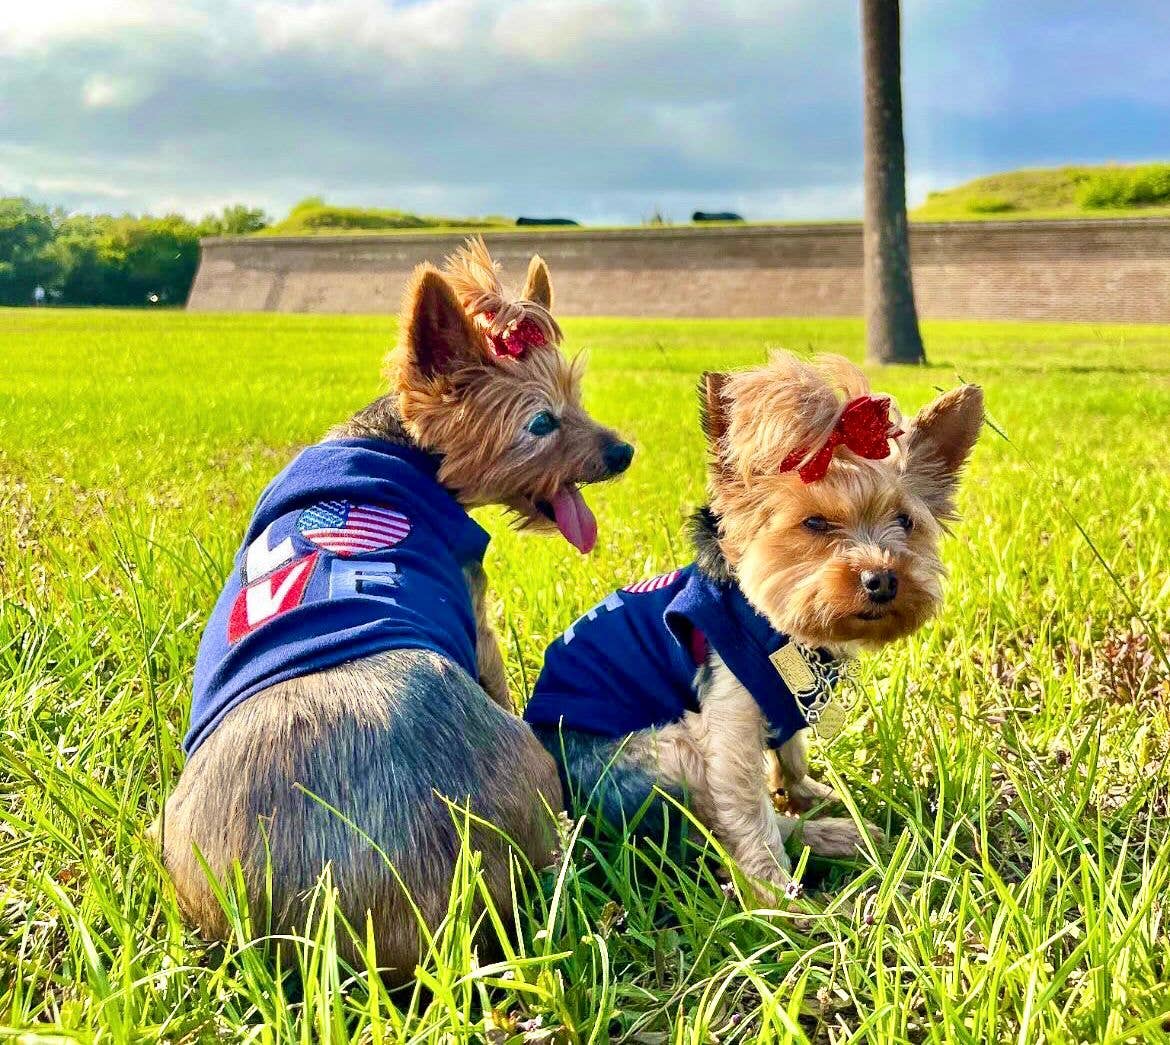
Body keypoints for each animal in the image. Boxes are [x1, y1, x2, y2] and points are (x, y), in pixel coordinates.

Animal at [526, 355, 982, 894]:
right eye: (815, 523)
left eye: (905, 522)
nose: (882, 579)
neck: (785, 632)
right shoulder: (729, 715)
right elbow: (748, 814)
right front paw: (782, 898)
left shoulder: (787, 700)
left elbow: (792, 753)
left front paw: (807, 792)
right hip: (662, 750)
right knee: (704, 829)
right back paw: (831, 838)